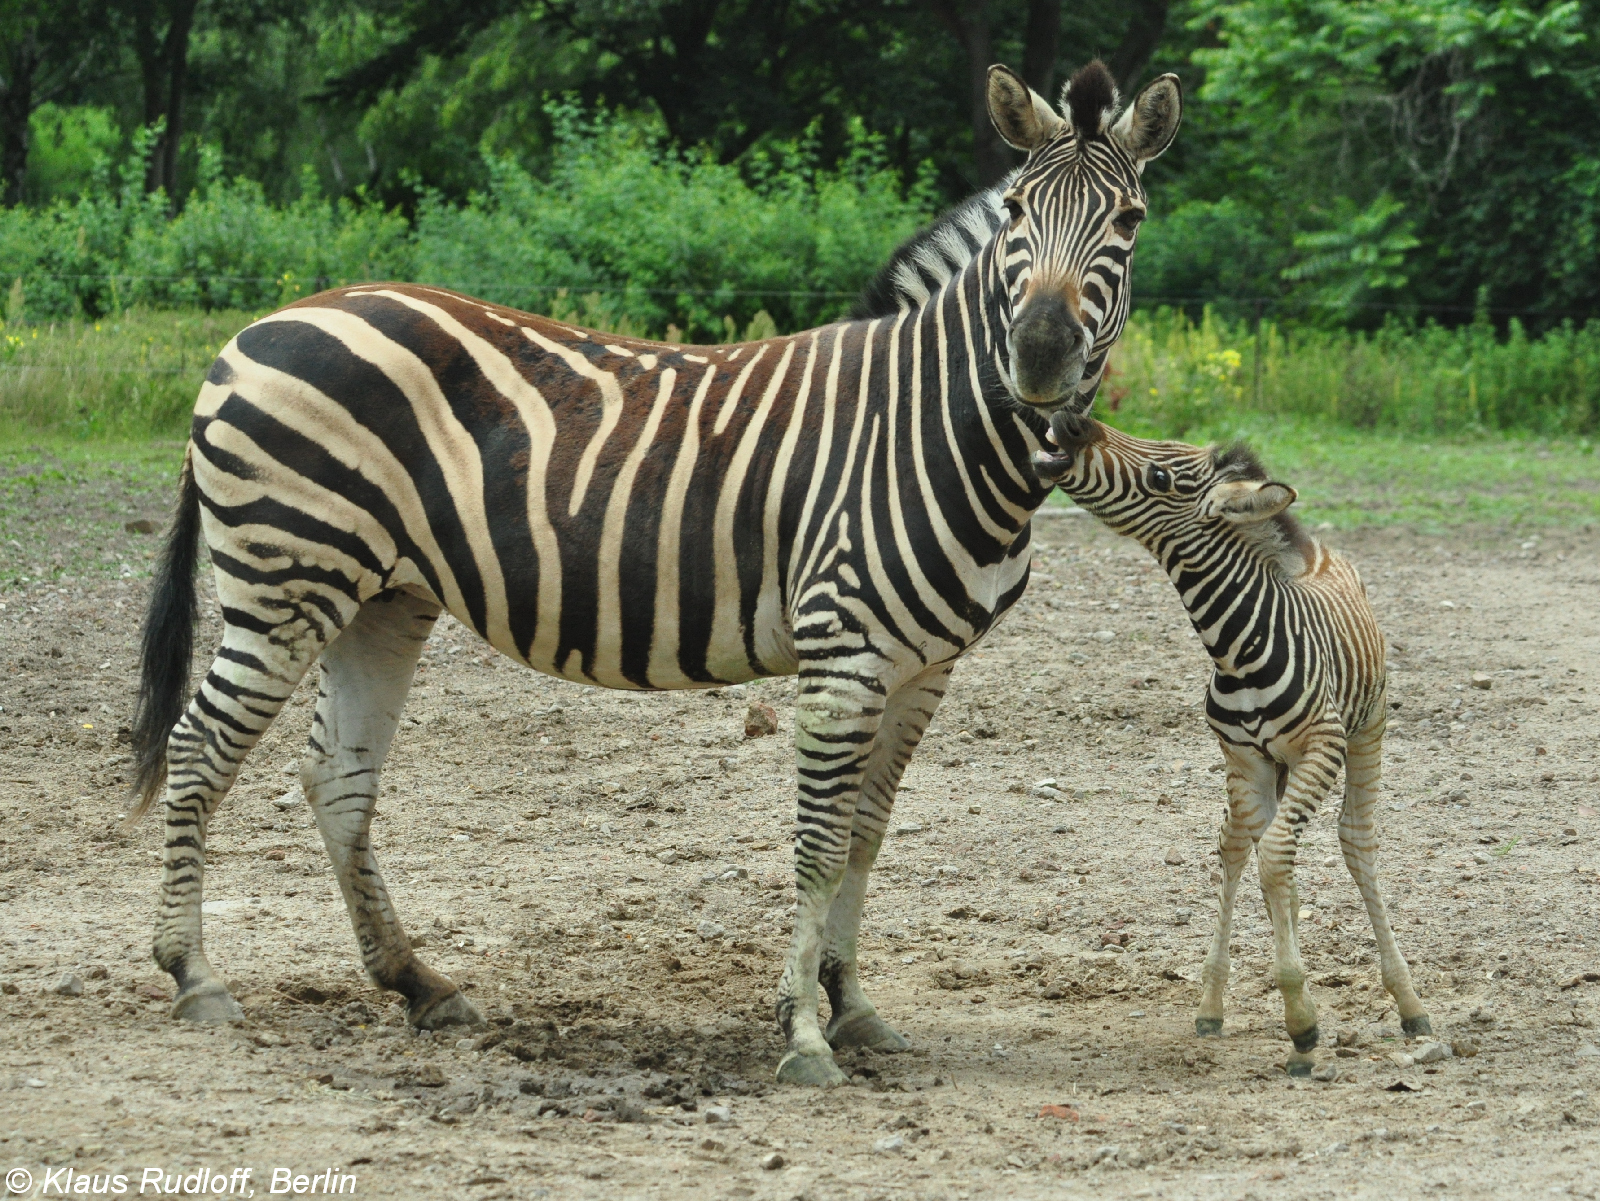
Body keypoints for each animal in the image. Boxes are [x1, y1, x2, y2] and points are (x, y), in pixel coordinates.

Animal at [1036, 418, 1440, 1074]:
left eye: (1160, 476)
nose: (1072, 425)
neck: (1238, 646)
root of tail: (1320, 547)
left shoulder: (1322, 746)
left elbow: (1276, 855)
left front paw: (1301, 1021)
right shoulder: (1243, 758)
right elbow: (1253, 853)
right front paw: (1268, 1000)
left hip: (1367, 729)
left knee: (1355, 842)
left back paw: (1409, 1005)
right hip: (1273, 768)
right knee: (1243, 842)